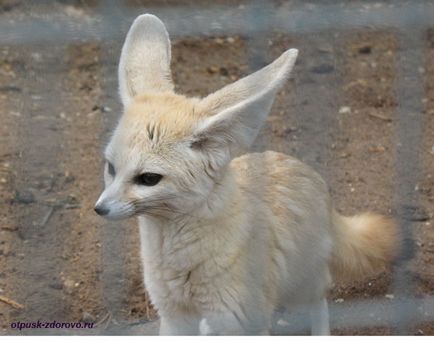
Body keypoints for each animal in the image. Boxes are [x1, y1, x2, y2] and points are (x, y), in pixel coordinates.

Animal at [96, 14, 400, 336]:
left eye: (148, 178)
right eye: (111, 168)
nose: (99, 209)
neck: (174, 256)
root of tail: (304, 169)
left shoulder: (240, 318)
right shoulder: (175, 316)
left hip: (302, 285)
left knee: (320, 305)